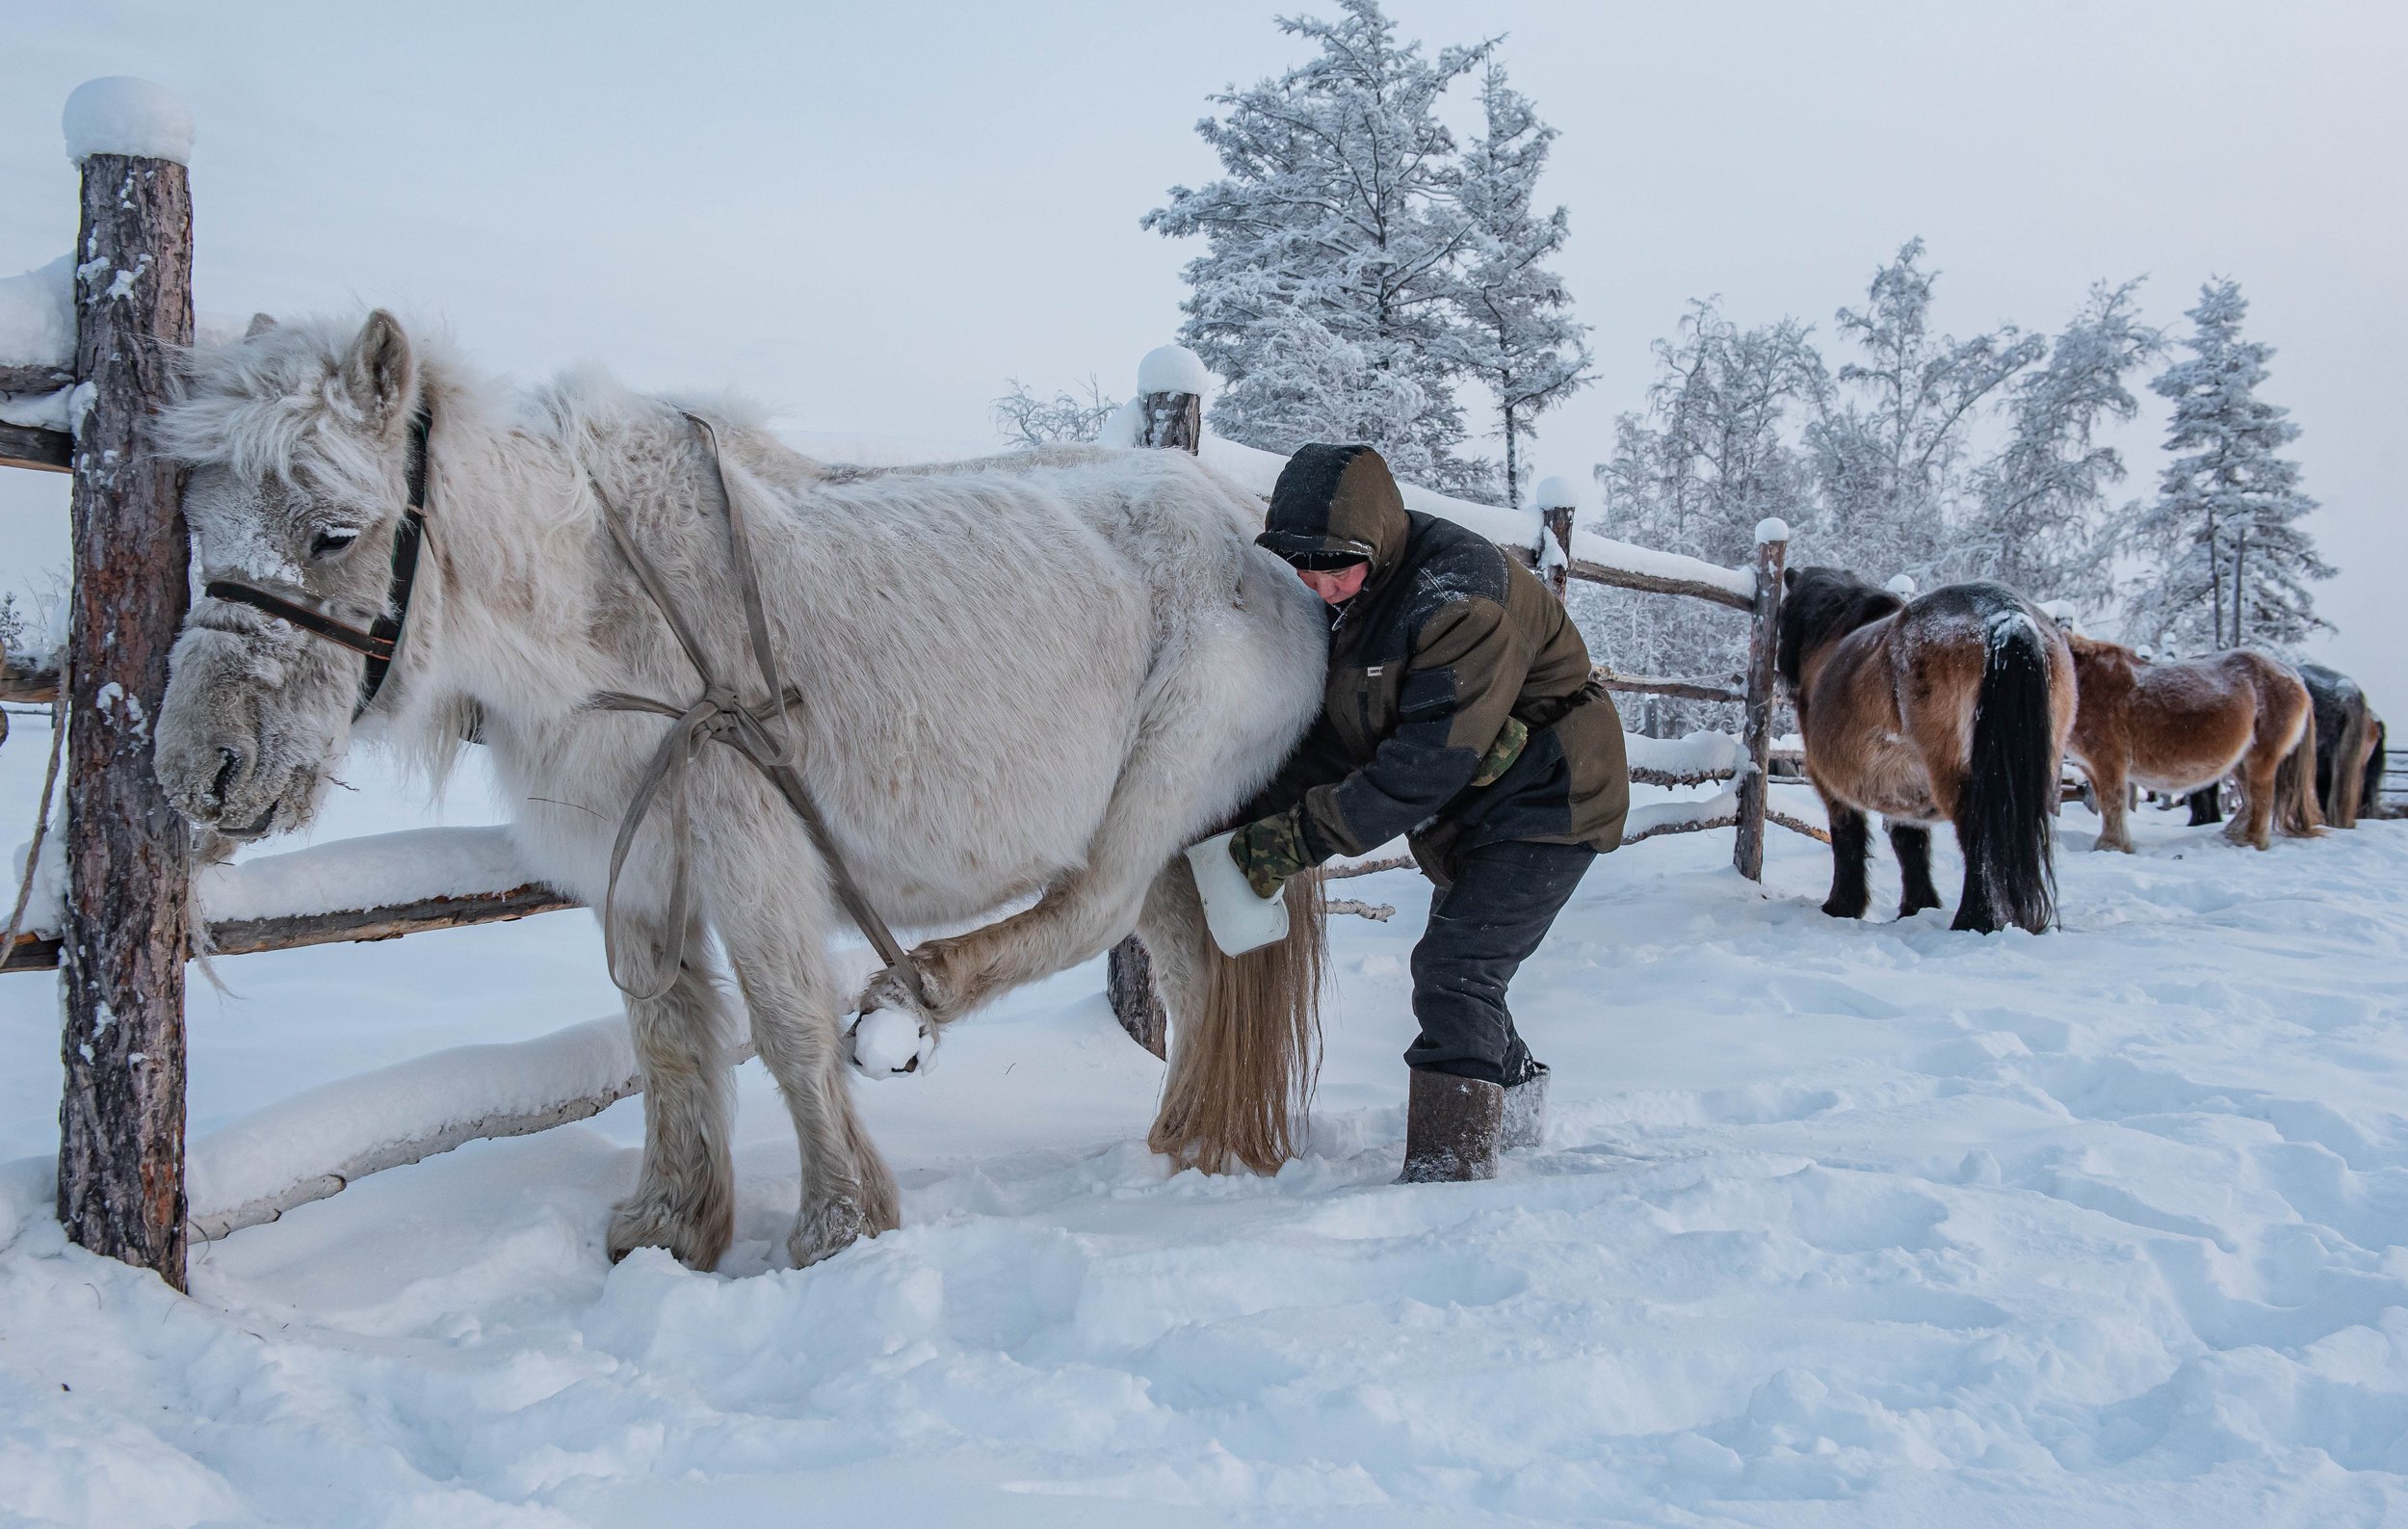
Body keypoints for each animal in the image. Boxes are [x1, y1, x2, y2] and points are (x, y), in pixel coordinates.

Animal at [151, 311, 1332, 1273]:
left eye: (333, 531)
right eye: (197, 530)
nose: (202, 768)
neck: (606, 604)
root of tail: (1247, 522)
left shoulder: (746, 844)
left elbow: (785, 1023)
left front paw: (838, 1225)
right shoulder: (638, 862)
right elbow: (668, 1032)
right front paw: (670, 1227)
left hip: (1160, 791)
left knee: (1091, 910)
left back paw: (915, 997)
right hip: (1180, 843)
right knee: (1191, 974)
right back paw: (1186, 1143)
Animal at [1776, 567, 2076, 934]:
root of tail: (2006, 615)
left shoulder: (1831, 784)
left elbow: (1849, 837)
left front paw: (1843, 906)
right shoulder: (1902, 785)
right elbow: (1911, 843)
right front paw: (1917, 907)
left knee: (1979, 839)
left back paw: (1974, 921)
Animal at [2064, 636, 2318, 852]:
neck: (2083, 680)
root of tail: (2292, 673)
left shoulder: (2109, 763)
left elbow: (2112, 802)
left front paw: (2111, 847)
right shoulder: (2091, 766)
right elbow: (2106, 803)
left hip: (2261, 757)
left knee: (2262, 798)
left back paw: (2251, 842)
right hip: (2239, 761)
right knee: (2249, 798)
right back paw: (2233, 835)